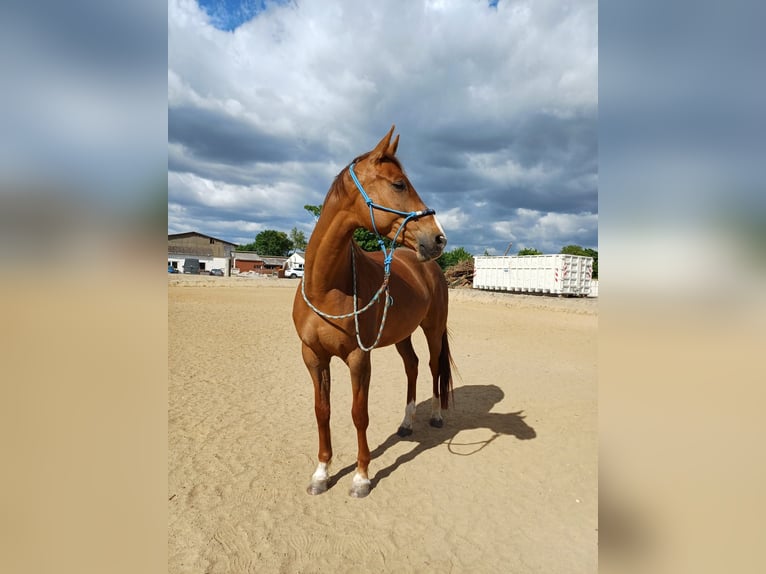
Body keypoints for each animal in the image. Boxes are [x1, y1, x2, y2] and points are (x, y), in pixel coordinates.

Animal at [292, 126, 455, 498]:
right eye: (399, 184)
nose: (438, 239)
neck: (326, 286)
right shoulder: (313, 356)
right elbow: (322, 411)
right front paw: (321, 473)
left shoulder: (358, 357)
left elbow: (358, 414)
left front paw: (361, 477)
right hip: (401, 334)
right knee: (412, 366)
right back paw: (406, 423)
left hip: (433, 329)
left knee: (432, 366)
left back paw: (437, 416)